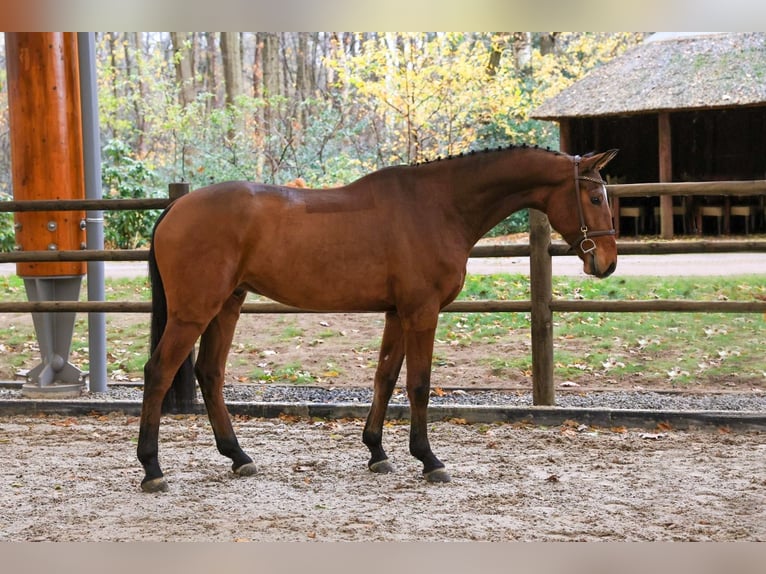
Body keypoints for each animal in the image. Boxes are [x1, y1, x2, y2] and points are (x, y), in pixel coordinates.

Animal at [136, 146, 616, 492]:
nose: (608, 262)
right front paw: (428, 459)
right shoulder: (422, 312)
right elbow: (418, 384)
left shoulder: (397, 313)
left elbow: (385, 377)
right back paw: (152, 469)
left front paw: (377, 452)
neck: (437, 205)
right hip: (194, 311)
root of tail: (176, 208)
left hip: (227, 305)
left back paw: (238, 456)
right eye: (594, 197)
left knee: (209, 373)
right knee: (159, 372)